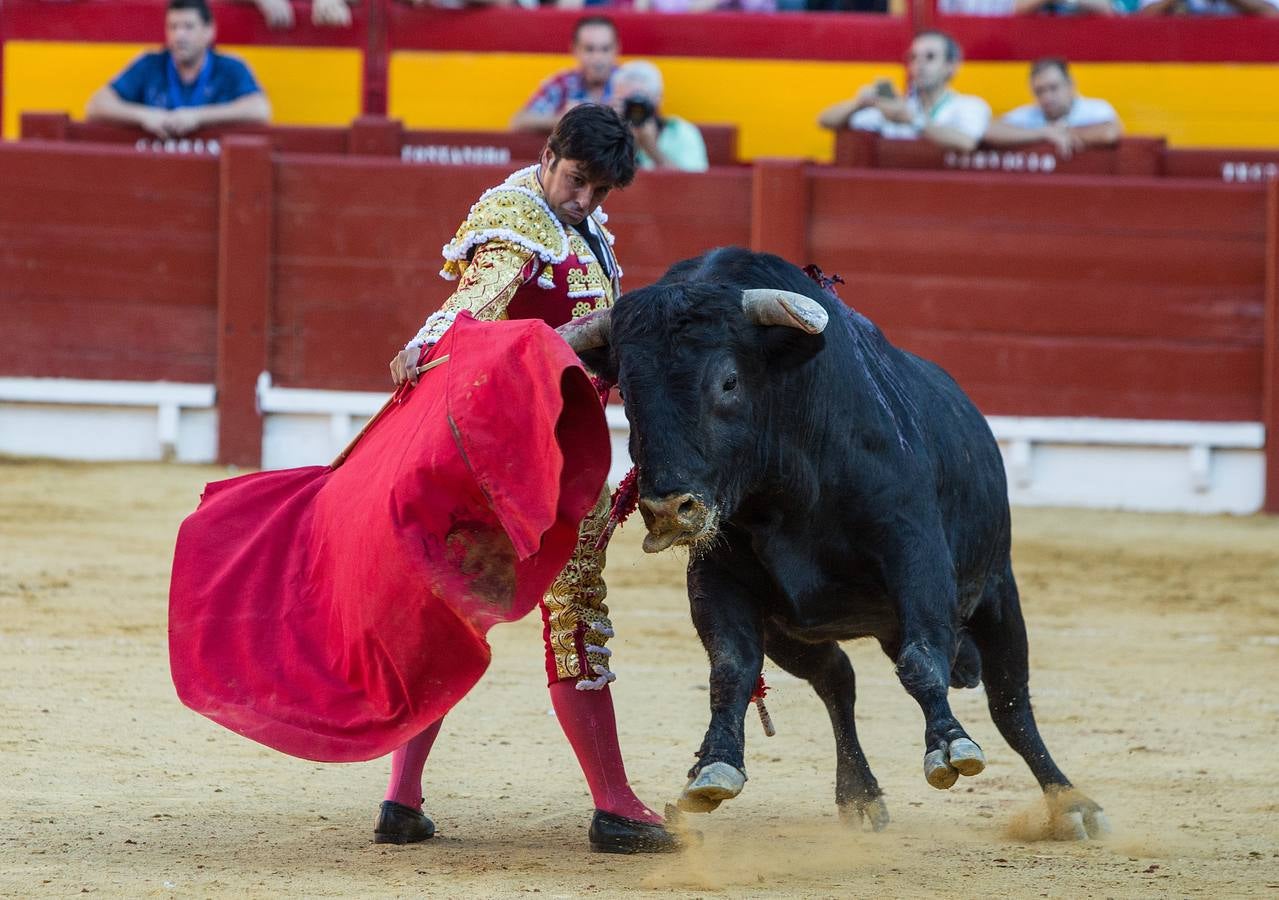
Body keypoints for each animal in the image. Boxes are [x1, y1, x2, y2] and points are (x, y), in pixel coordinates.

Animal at [560, 245, 1110, 838]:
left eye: (728, 381)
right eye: (630, 392)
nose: (668, 509)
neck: (785, 493)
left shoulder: (916, 556)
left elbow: (923, 660)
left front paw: (949, 746)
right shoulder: (717, 577)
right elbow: (731, 669)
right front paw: (714, 766)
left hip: (997, 591)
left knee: (1011, 703)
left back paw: (1071, 805)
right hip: (792, 632)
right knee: (837, 681)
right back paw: (861, 795)